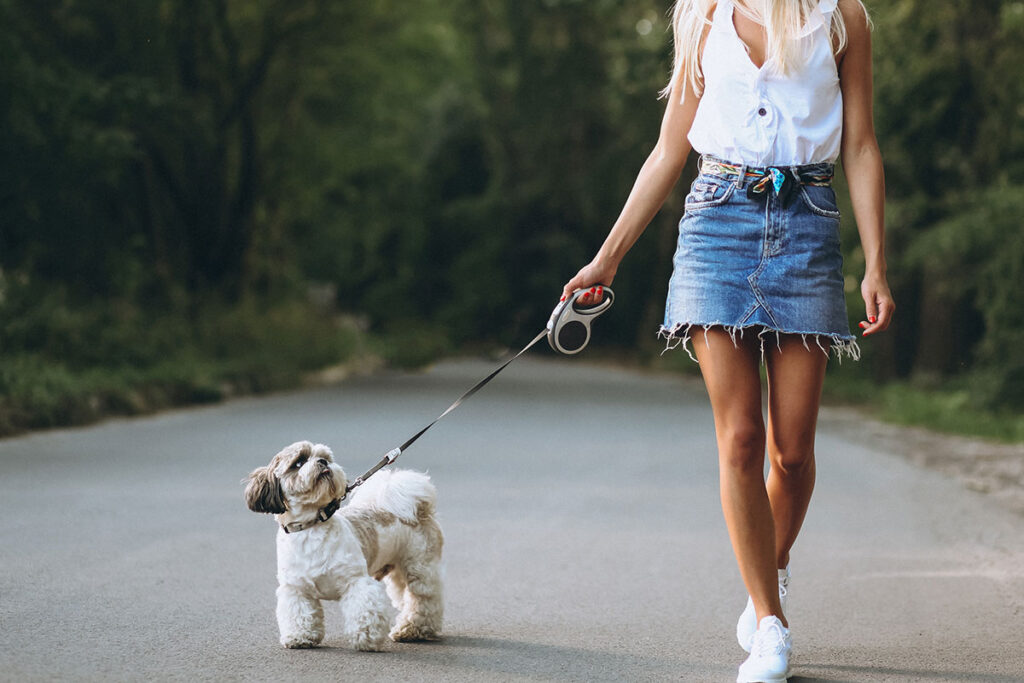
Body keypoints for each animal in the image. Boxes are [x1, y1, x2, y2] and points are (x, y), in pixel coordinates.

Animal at [246, 440, 444, 651]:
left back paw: (411, 629)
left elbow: (364, 611)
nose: (323, 462)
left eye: (325, 457)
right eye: (298, 462)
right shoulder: (296, 589)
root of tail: (414, 509)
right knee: (406, 597)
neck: (312, 526)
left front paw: (366, 639)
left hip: (419, 568)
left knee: (423, 601)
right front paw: (299, 637)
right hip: (398, 572)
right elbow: (299, 614)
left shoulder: (355, 582)